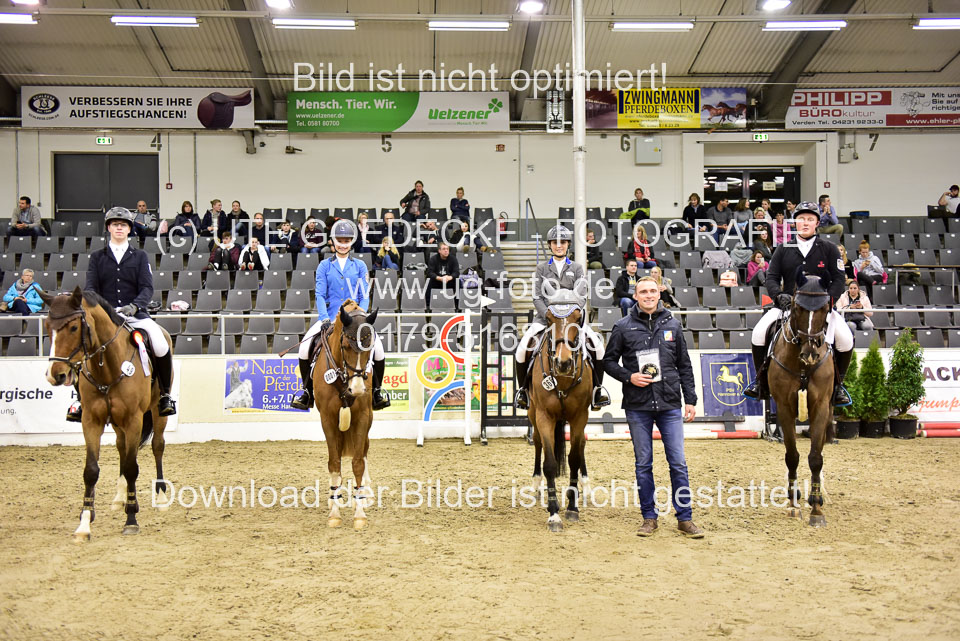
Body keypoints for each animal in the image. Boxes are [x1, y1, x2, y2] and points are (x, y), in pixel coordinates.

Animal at [40, 287, 171, 542]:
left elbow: (132, 468)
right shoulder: (91, 421)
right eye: (48, 326)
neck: (108, 367)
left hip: (157, 413)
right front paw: (84, 523)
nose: (55, 375)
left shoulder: (134, 420)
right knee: (122, 448)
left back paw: (160, 497)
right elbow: (91, 470)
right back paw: (120, 498)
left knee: (157, 446)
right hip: (118, 423)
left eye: (73, 327)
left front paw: (131, 519)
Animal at [308, 301, 379, 530]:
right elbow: (334, 463)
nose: (357, 389)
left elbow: (357, 463)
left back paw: (364, 495)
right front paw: (335, 513)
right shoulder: (328, 420)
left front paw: (359, 514)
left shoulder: (362, 417)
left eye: (369, 348)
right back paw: (334, 500)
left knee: (363, 452)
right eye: (346, 347)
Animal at [526, 281, 592, 532]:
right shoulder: (544, 416)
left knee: (581, 445)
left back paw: (585, 483)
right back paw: (536, 484)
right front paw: (554, 513)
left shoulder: (580, 416)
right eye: (549, 318)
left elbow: (574, 458)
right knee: (537, 444)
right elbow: (550, 464)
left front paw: (572, 507)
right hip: (532, 413)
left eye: (578, 317)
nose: (563, 363)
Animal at [767, 276, 836, 527]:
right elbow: (792, 456)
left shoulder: (821, 406)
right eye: (797, 308)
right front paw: (793, 503)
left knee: (821, 447)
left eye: (825, 308)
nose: (810, 354)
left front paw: (816, 508)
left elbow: (815, 457)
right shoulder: (784, 408)